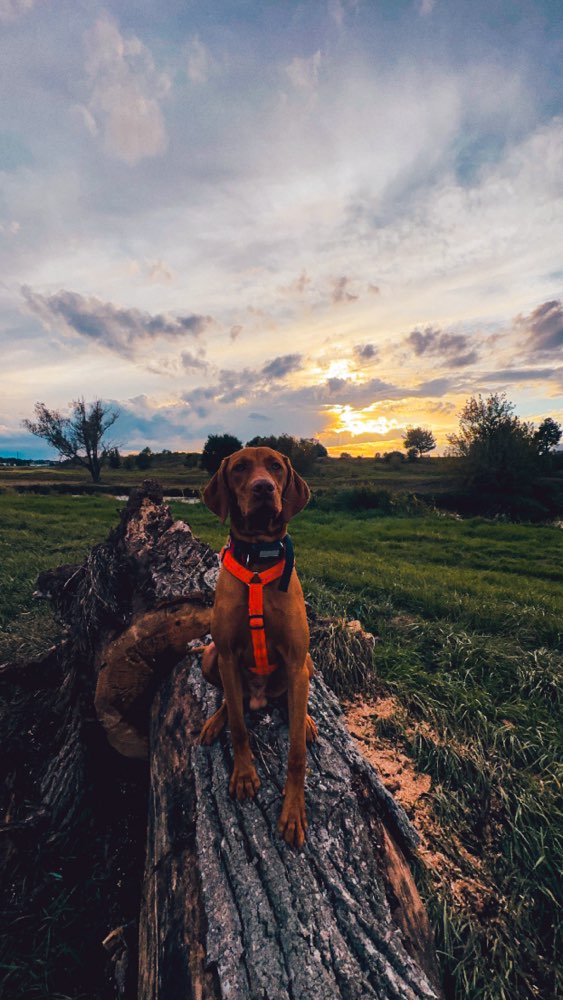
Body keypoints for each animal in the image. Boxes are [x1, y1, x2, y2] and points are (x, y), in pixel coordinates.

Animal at [198, 450, 318, 848]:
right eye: (239, 468)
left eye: (276, 466)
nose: (263, 487)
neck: (257, 562)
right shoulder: (227, 655)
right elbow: (239, 727)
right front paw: (244, 775)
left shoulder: (296, 660)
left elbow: (296, 754)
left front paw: (293, 811)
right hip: (210, 658)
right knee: (230, 700)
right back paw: (214, 720)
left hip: (307, 664)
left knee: (295, 701)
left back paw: (306, 720)